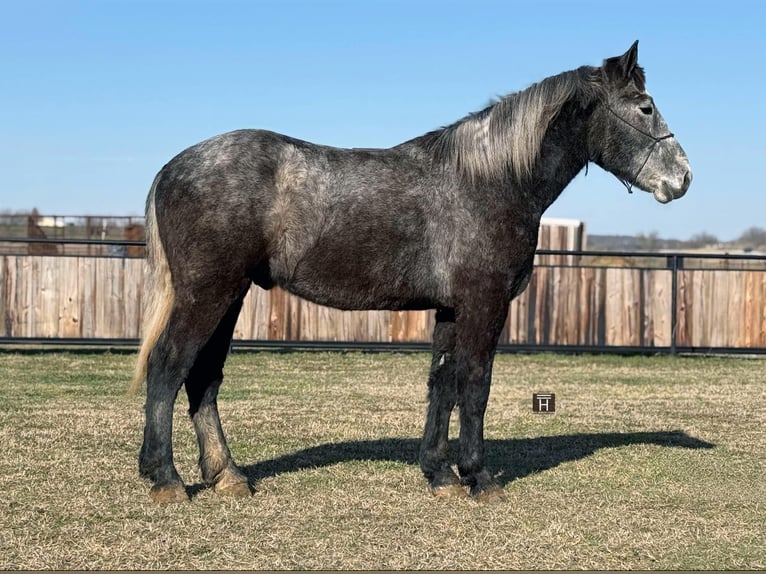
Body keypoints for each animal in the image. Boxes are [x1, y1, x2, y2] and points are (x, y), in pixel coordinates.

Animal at [132, 41, 696, 504]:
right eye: (645, 107)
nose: (684, 177)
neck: (488, 181)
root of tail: (172, 167)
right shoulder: (484, 303)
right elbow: (475, 383)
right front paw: (479, 477)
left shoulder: (450, 308)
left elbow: (442, 384)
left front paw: (440, 474)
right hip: (208, 294)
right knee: (168, 366)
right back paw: (166, 478)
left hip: (229, 297)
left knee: (203, 378)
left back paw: (226, 475)